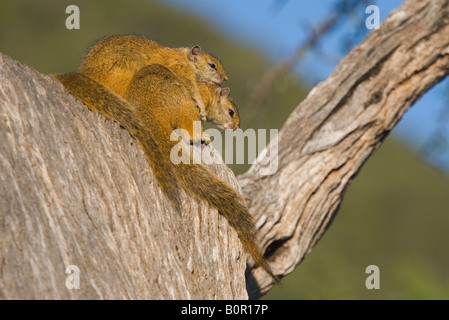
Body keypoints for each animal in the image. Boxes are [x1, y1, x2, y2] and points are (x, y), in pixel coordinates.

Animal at [53, 67, 276, 280]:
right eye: (231, 112)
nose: (236, 127)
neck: (207, 91)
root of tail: (151, 111)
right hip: (186, 108)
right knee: (189, 130)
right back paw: (201, 137)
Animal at [77, 34, 229, 120]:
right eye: (212, 65)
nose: (225, 78)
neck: (186, 58)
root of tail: (85, 73)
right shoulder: (182, 71)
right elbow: (193, 90)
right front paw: (202, 109)